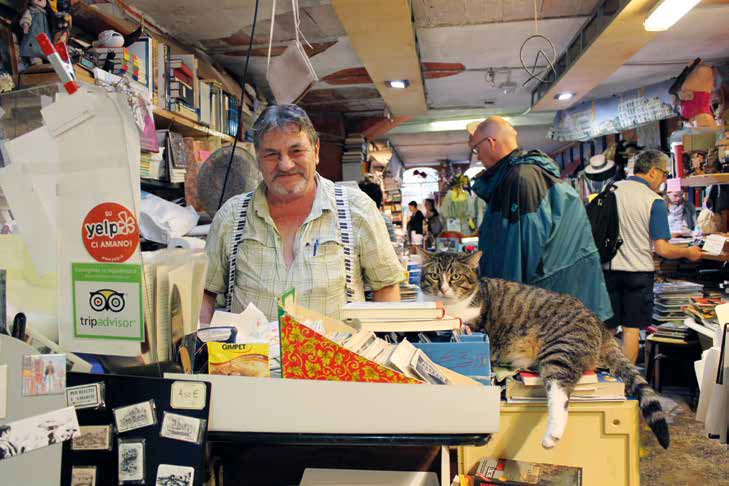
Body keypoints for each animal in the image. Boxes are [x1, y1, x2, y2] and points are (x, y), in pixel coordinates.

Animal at [418, 249, 668, 450]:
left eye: (455, 276)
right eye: (434, 275)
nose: (443, 289)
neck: (452, 307)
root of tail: (600, 325)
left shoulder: (475, 324)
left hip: (561, 349)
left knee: (559, 393)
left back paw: (552, 436)